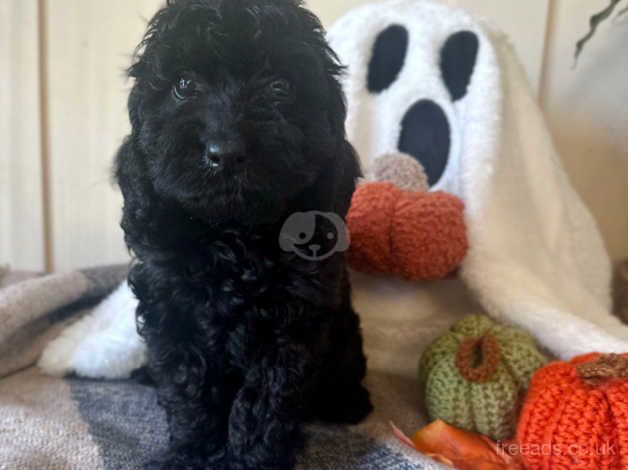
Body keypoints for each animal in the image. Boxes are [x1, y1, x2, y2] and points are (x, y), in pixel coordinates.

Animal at [116, 0, 372, 470]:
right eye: (184, 84)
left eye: (280, 87)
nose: (226, 152)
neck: (232, 233)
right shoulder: (171, 303)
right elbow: (188, 383)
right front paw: (191, 452)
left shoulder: (292, 317)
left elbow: (265, 399)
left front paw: (251, 459)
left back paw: (347, 401)